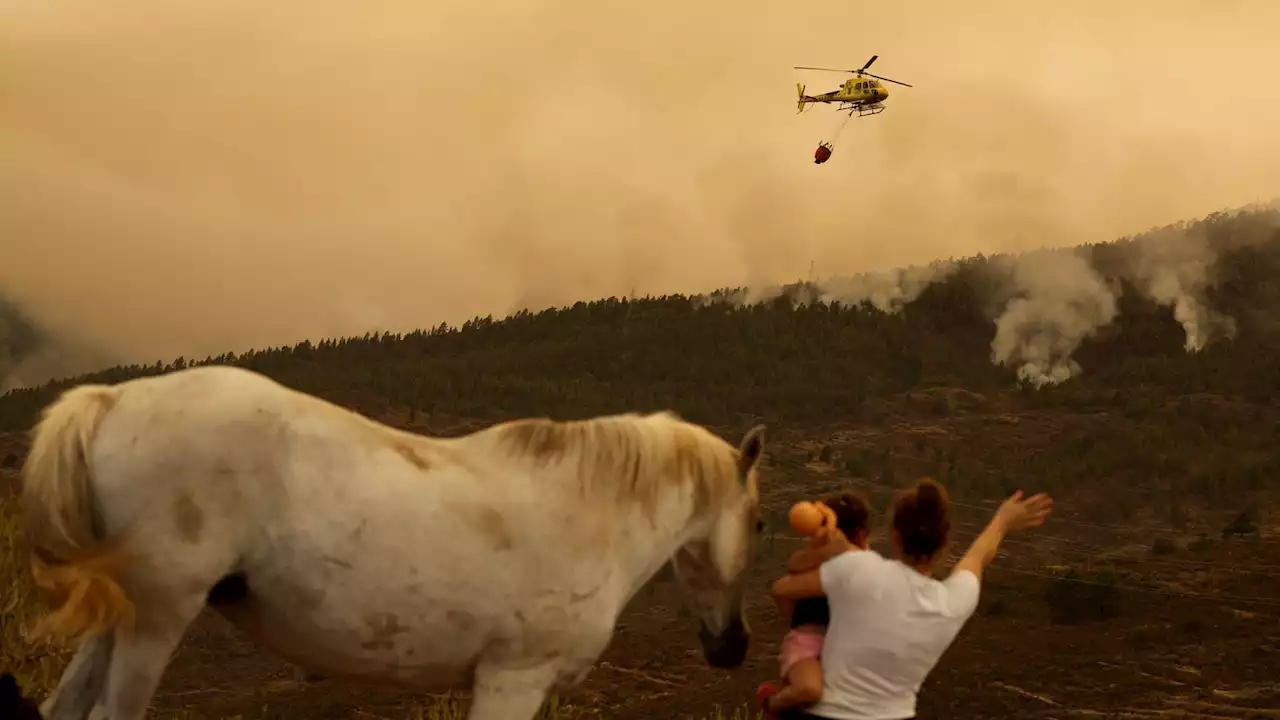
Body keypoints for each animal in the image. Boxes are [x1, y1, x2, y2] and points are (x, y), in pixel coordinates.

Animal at [22, 363, 768, 717]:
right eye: (759, 523)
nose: (733, 648)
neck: (589, 512)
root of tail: (113, 400)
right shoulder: (513, 679)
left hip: (118, 617)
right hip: (158, 616)